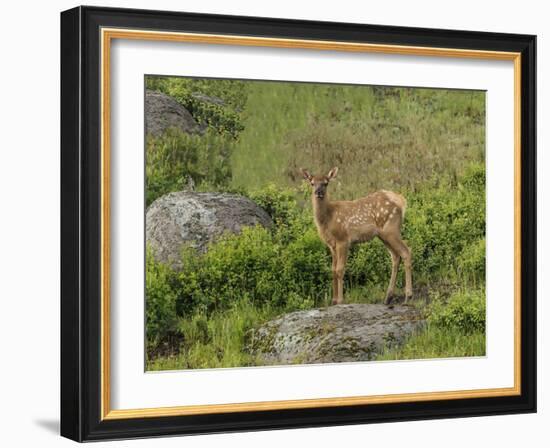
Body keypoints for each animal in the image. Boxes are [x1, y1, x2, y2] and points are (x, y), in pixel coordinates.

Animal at [302, 166, 414, 306]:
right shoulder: (331, 245)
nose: (318, 192)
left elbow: (339, 269)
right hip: (384, 235)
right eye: (312, 183)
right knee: (395, 256)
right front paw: (333, 300)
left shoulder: (343, 239)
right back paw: (388, 297)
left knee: (406, 251)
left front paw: (340, 300)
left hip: (391, 229)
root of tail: (401, 201)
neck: (328, 219)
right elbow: (332, 269)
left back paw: (408, 296)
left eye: (326, 183)